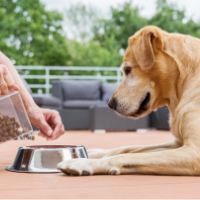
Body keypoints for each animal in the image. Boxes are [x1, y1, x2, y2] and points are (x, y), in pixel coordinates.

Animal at [57, 25, 200, 176]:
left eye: (127, 69)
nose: (110, 103)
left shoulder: (194, 152)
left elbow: (129, 155)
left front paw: (83, 162)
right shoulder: (176, 143)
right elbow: (128, 148)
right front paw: (93, 153)